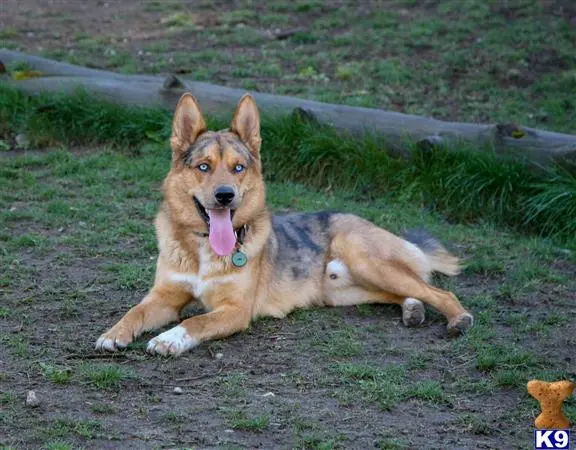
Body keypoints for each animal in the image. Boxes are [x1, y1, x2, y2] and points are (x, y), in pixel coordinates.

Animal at [95, 93, 472, 356]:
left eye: (238, 168)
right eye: (203, 167)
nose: (225, 196)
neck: (203, 248)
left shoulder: (235, 310)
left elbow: (195, 319)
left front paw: (169, 339)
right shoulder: (164, 296)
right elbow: (134, 311)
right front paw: (113, 333)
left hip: (366, 259)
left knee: (439, 291)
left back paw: (458, 318)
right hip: (343, 291)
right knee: (407, 292)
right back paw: (412, 310)